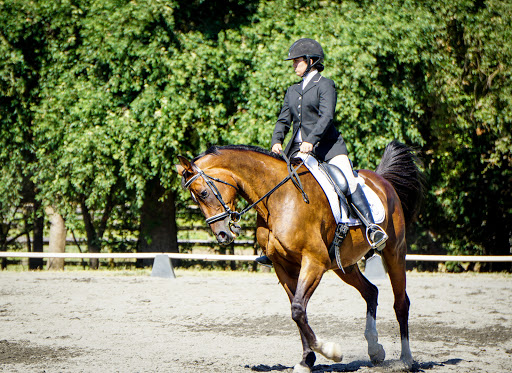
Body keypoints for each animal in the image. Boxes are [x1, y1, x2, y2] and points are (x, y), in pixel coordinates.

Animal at [176, 141, 424, 370]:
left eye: (203, 193)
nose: (222, 235)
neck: (278, 199)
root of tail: (382, 180)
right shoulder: (283, 266)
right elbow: (298, 312)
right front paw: (307, 360)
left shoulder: (314, 262)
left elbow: (297, 309)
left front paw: (330, 351)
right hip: (344, 265)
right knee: (371, 292)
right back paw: (375, 349)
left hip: (394, 252)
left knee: (401, 303)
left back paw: (406, 359)